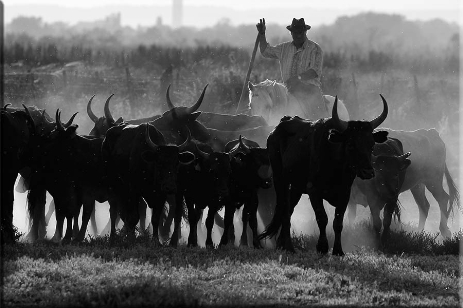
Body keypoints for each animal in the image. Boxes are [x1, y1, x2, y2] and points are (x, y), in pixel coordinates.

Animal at [260, 95, 390, 255]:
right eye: (351, 144)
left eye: (371, 145)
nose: (368, 172)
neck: (336, 167)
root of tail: (276, 130)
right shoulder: (313, 191)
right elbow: (322, 218)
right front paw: (322, 247)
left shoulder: (345, 193)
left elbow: (338, 222)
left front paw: (338, 250)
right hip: (280, 179)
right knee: (284, 208)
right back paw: (289, 247)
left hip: (296, 186)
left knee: (289, 209)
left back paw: (281, 244)